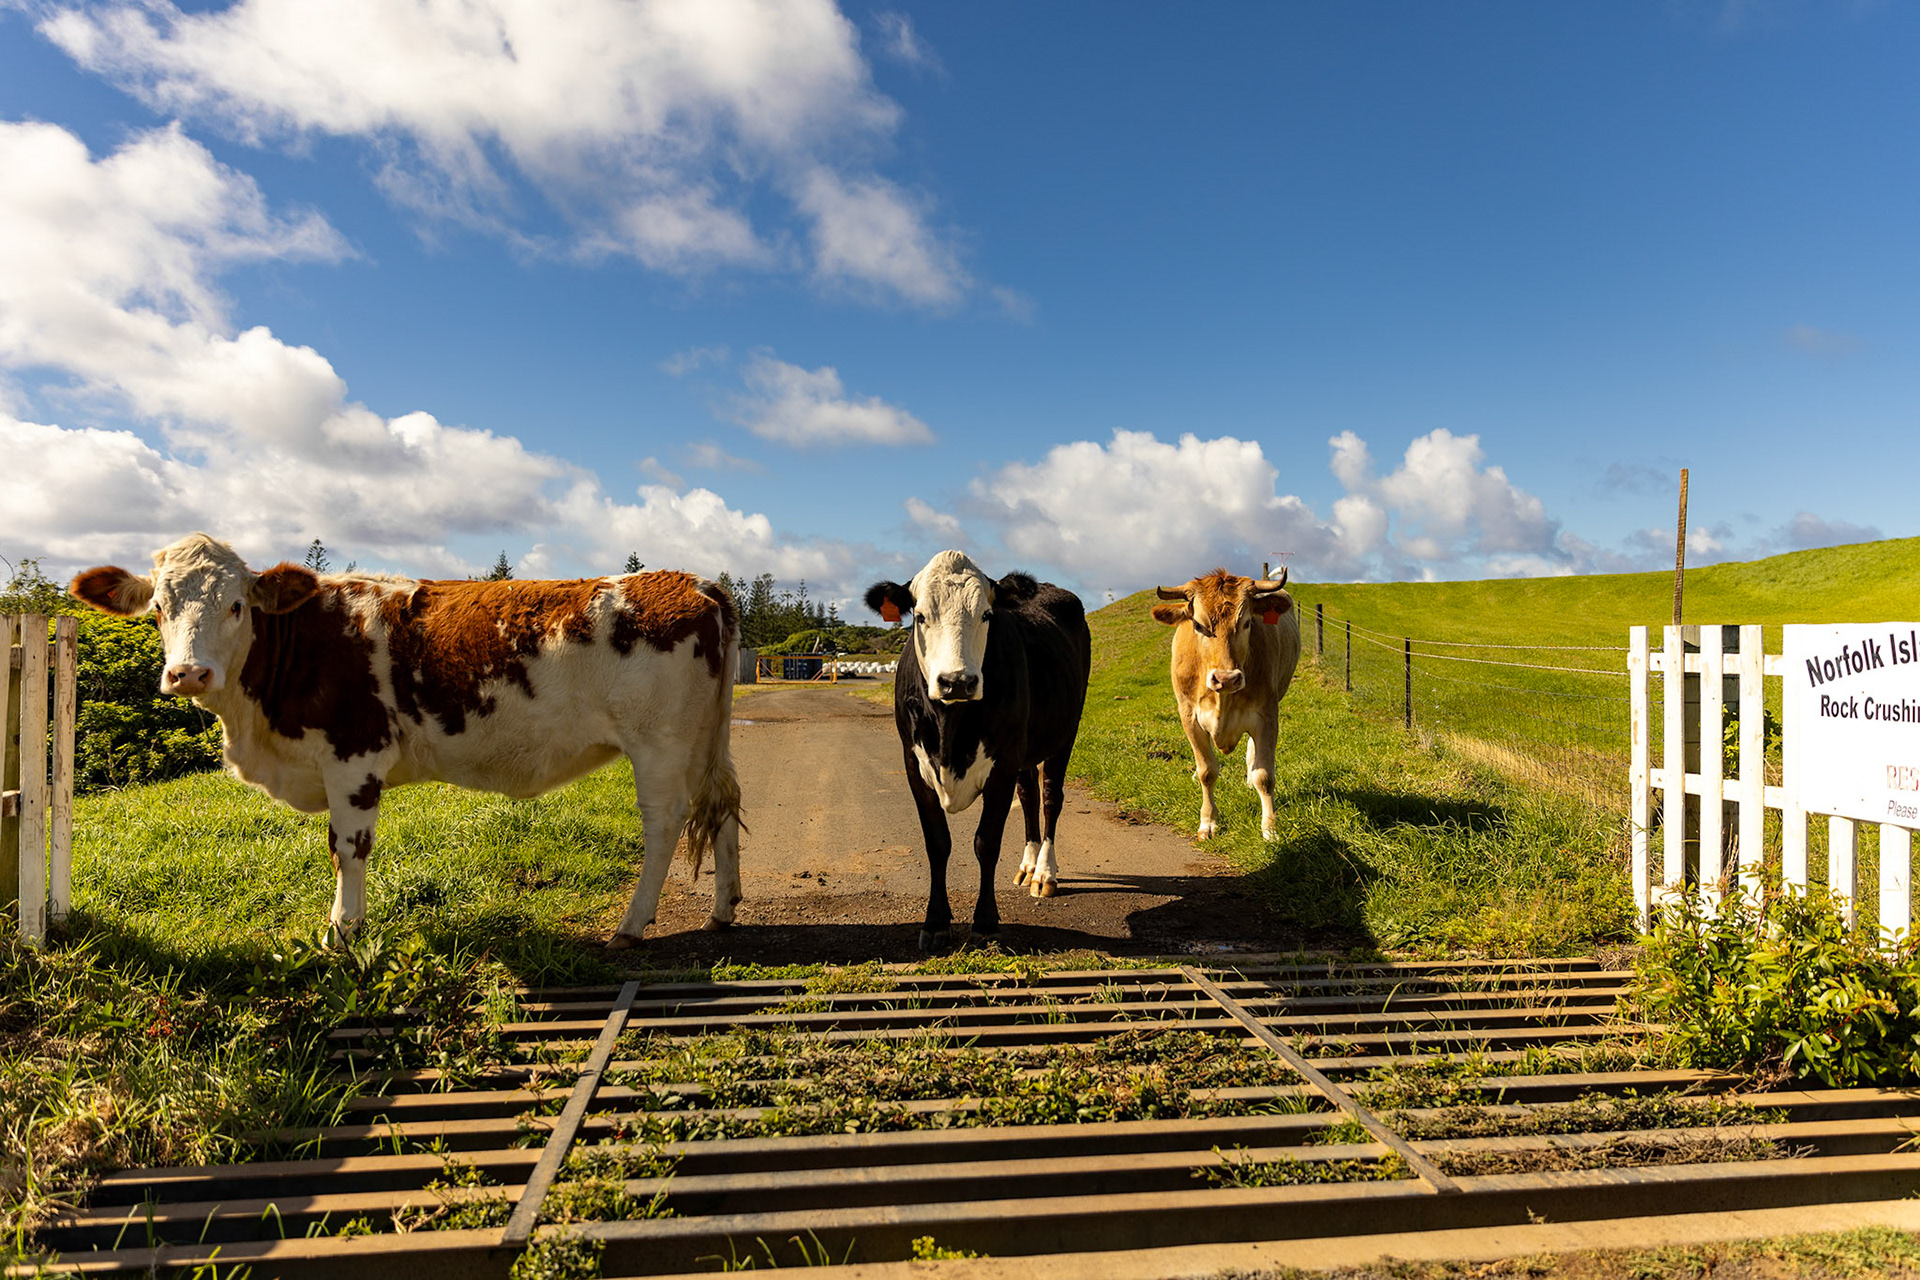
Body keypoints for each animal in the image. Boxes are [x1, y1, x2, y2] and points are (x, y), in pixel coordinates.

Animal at [69, 533, 742, 950]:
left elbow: (348, 848)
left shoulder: (353, 753)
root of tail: (696, 582)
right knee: (724, 805)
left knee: (665, 822)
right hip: (705, 739)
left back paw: (632, 924)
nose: (189, 673)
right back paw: (722, 908)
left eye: (237, 606)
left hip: (660, 742)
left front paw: (342, 933)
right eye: (159, 608)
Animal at [865, 550, 1091, 951]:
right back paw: (1028, 865)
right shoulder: (913, 763)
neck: (950, 726)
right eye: (919, 616)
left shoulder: (1002, 764)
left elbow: (987, 843)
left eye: (986, 615)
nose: (957, 681)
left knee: (1050, 798)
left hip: (1065, 734)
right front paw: (936, 922)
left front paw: (985, 923)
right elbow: (937, 843)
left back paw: (1044, 872)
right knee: (1029, 795)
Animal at [1151, 567, 1301, 841]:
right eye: (1198, 625)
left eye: (1247, 623)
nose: (1226, 678)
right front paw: (1208, 822)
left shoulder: (1267, 716)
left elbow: (1265, 776)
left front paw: (1270, 828)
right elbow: (1207, 771)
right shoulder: (1189, 717)